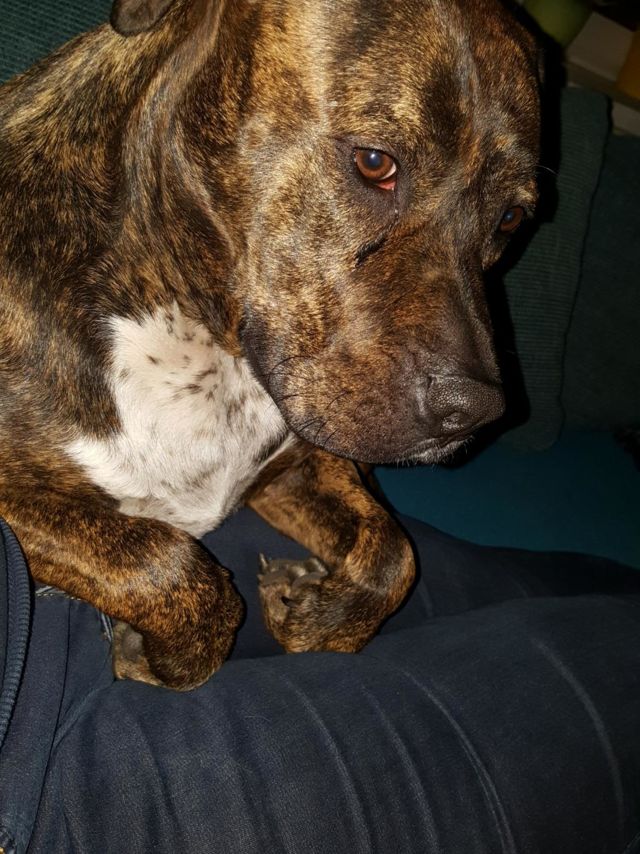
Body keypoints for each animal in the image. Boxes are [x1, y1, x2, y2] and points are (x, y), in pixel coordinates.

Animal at [0, 0, 541, 689]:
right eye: (375, 162)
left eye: (511, 219)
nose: (472, 410)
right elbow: (162, 559)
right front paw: (153, 653)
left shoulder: (292, 472)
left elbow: (392, 555)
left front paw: (309, 607)